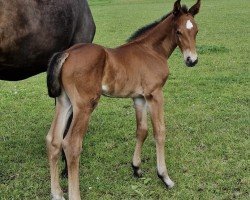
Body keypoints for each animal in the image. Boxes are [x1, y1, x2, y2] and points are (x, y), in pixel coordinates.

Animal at [46, 0, 200, 199]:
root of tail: (66, 54)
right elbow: (159, 132)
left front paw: (136, 168)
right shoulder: (155, 94)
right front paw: (165, 177)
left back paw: (57, 193)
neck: (151, 50)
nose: (192, 60)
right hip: (84, 105)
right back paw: (73, 195)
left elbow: (142, 130)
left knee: (53, 140)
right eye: (178, 31)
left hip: (64, 102)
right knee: (71, 144)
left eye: (196, 30)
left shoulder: (139, 98)